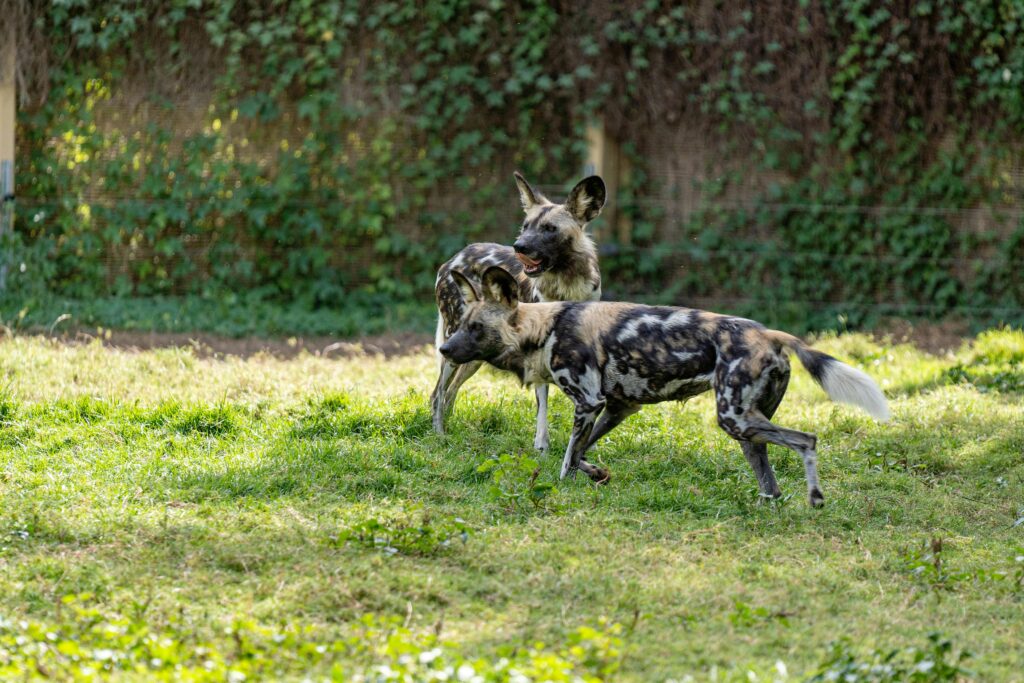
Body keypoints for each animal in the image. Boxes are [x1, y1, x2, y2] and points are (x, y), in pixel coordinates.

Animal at [428, 172, 602, 448]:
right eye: (525, 226)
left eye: (549, 229)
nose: (518, 246)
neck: (567, 285)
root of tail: (454, 259)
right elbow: (542, 405)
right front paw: (541, 446)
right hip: (453, 346)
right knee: (437, 394)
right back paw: (440, 436)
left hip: (472, 353)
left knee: (449, 393)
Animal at [438, 266, 888, 507]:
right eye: (462, 325)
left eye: (476, 329)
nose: (444, 347)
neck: (543, 327)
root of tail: (769, 333)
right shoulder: (617, 407)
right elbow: (581, 453)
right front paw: (597, 474)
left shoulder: (588, 402)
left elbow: (566, 461)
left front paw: (565, 489)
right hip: (746, 426)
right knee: (771, 482)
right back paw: (767, 506)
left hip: (734, 418)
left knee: (807, 440)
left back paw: (815, 498)